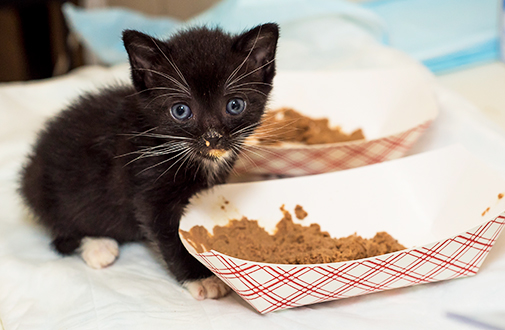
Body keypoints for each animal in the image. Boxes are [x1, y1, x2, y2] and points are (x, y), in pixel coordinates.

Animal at [18, 23, 280, 300]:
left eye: (235, 105)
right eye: (181, 110)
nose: (213, 138)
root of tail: (34, 160)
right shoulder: (146, 185)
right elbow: (168, 233)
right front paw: (203, 277)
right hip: (48, 193)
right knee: (62, 234)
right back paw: (98, 246)